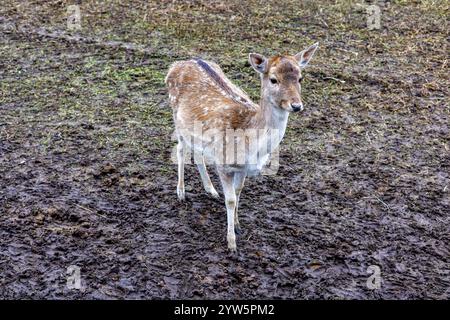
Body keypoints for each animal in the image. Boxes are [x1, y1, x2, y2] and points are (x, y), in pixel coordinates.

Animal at [166, 43, 320, 252]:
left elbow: (238, 192)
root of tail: (178, 64)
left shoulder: (243, 168)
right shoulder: (224, 164)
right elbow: (230, 199)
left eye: (300, 78)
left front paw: (238, 225)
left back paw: (211, 189)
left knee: (198, 154)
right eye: (273, 79)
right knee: (180, 149)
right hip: (177, 119)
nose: (296, 105)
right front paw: (231, 243)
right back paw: (181, 193)